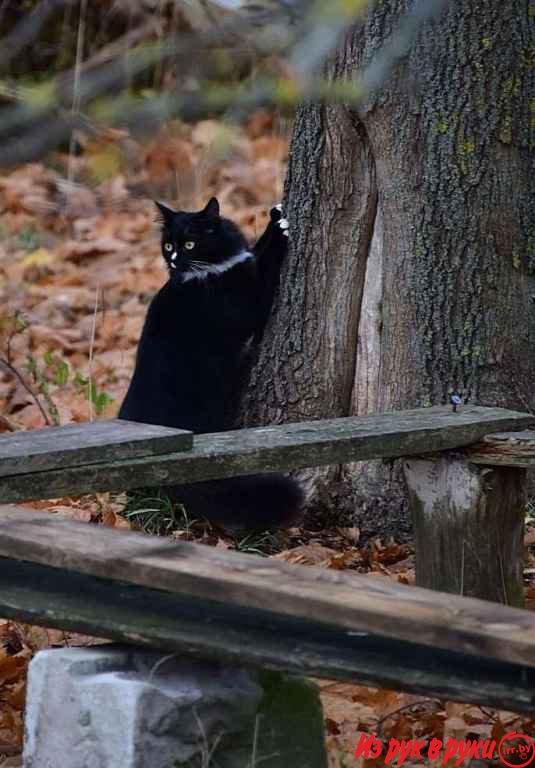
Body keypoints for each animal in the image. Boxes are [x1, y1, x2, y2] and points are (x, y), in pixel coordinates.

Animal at [121, 198, 304, 528]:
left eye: (188, 244)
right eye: (170, 245)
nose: (174, 261)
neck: (212, 270)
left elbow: (255, 252)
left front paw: (275, 217)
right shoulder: (248, 307)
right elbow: (266, 268)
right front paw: (280, 232)